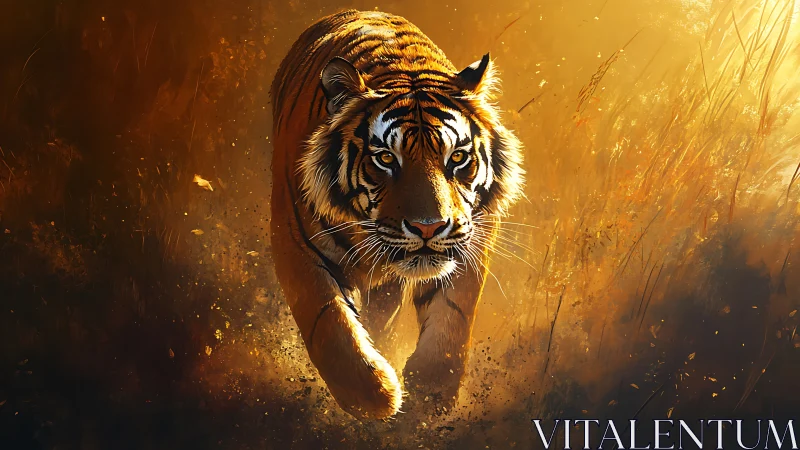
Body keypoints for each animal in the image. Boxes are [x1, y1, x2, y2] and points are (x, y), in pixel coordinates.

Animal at [269, 9, 524, 420]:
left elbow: (453, 315)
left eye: (457, 157)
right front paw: (375, 396)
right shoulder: (294, 243)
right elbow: (329, 322)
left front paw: (430, 394)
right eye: (386, 159)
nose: (428, 227)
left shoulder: (473, 236)